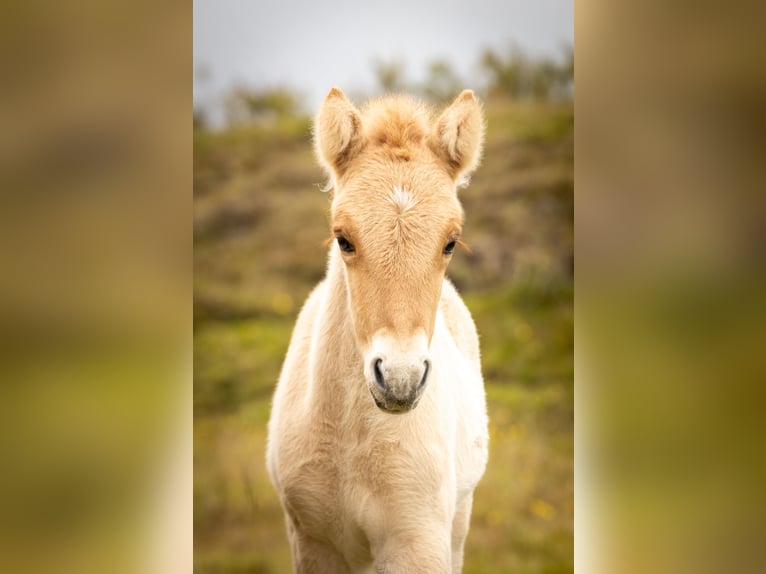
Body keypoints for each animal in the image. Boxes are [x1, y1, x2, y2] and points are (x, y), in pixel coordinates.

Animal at [266, 87, 489, 573]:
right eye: (343, 239)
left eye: (450, 242)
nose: (400, 380)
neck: (352, 443)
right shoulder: (313, 542)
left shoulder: (417, 543)